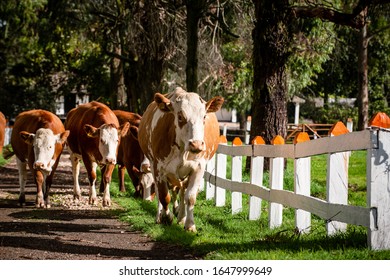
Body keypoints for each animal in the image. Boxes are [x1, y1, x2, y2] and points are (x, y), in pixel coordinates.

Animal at [138, 86, 222, 231]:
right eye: (180, 116)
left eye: (204, 116)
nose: (196, 144)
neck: (182, 149)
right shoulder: (158, 168)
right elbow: (164, 196)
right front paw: (166, 217)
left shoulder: (198, 167)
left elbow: (190, 197)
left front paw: (189, 225)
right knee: (160, 193)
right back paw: (160, 216)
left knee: (183, 191)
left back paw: (181, 217)